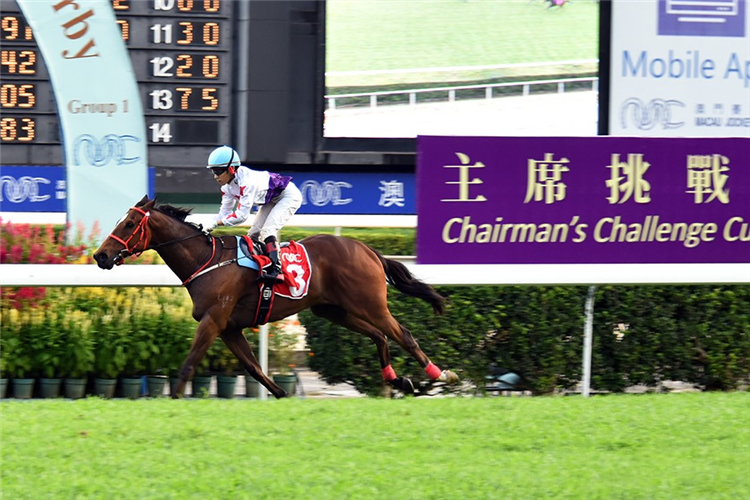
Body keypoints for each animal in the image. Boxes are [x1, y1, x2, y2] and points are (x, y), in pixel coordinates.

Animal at [94, 195, 458, 398]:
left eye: (129, 224)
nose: (101, 255)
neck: (206, 260)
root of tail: (368, 249)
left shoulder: (214, 320)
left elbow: (188, 365)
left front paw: (173, 400)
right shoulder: (229, 327)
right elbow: (254, 368)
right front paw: (281, 394)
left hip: (369, 303)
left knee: (403, 334)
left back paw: (440, 375)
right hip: (334, 310)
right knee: (380, 337)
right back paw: (397, 381)